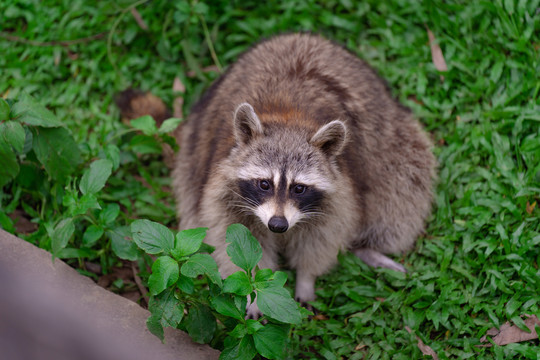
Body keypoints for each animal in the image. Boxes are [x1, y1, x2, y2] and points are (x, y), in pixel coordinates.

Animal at [119, 33, 434, 316]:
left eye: (299, 188)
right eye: (264, 184)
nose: (278, 225)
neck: (288, 120)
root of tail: (300, 35)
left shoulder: (340, 190)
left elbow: (324, 235)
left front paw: (307, 277)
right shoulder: (226, 191)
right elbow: (234, 240)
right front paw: (254, 294)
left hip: (395, 144)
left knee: (401, 196)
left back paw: (368, 247)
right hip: (194, 147)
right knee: (191, 198)